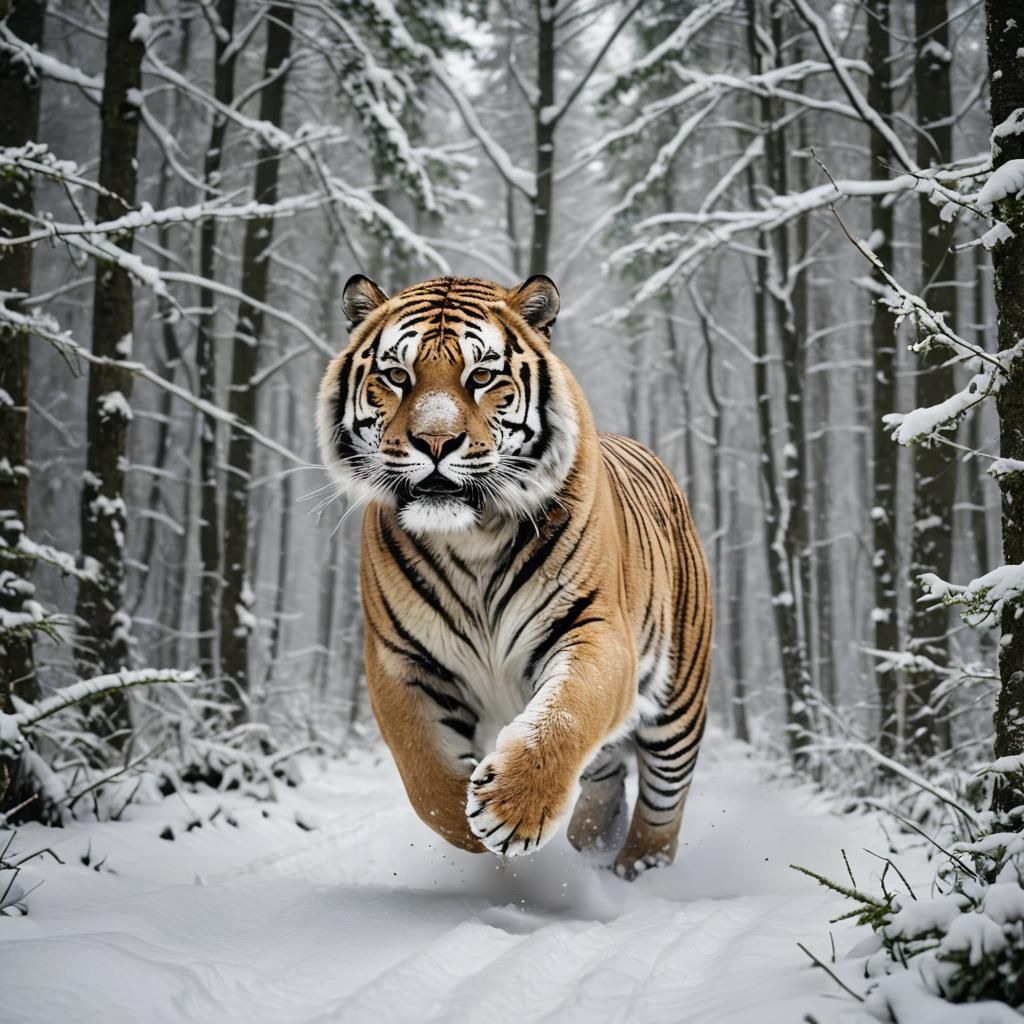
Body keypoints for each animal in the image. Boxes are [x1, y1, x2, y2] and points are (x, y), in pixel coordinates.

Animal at [316, 273, 712, 879]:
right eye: (397, 376)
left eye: (481, 376)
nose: (435, 442)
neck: (472, 536)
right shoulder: (400, 661)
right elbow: (425, 775)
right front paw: (476, 831)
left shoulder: (595, 629)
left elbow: (568, 713)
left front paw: (513, 809)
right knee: (605, 778)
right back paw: (588, 847)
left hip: (677, 711)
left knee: (663, 808)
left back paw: (635, 870)